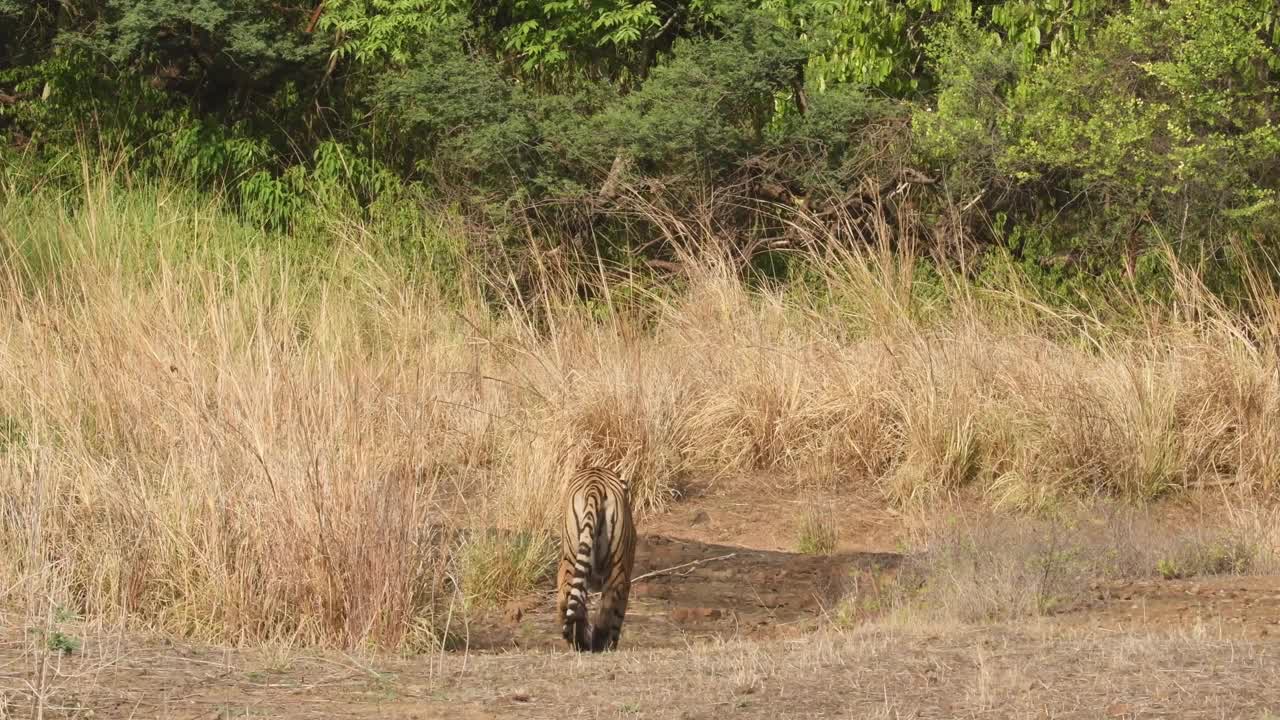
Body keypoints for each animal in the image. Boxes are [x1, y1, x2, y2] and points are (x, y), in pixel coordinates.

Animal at [558, 466, 637, 650]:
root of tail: (594, 485)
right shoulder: (626, 581)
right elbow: (618, 617)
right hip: (616, 566)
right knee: (607, 605)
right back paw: (598, 644)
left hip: (571, 559)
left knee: (571, 600)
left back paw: (579, 642)